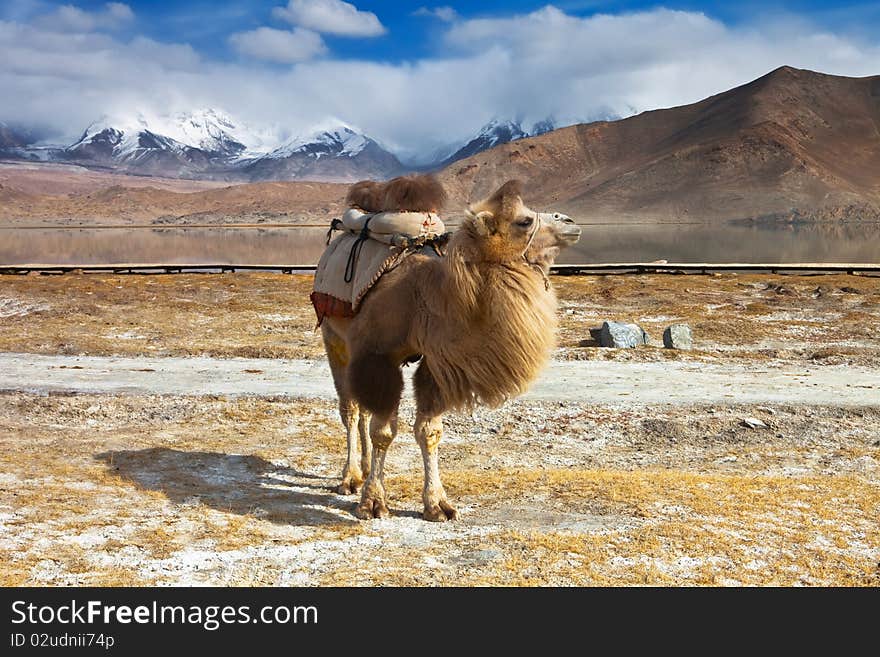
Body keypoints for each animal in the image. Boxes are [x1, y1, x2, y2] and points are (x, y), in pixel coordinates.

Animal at [320, 177, 580, 520]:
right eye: (524, 221)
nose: (571, 222)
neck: (428, 300)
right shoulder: (378, 356)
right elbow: (384, 432)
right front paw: (373, 503)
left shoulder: (434, 364)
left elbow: (429, 431)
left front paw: (438, 504)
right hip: (334, 337)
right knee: (350, 409)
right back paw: (350, 478)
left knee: (361, 408)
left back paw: (361, 470)